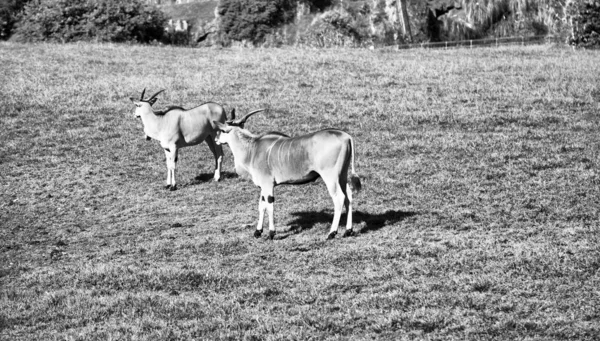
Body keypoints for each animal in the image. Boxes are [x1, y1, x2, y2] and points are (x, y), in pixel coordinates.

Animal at [213, 111, 360, 239]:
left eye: (222, 131)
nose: (215, 139)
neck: (252, 149)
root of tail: (345, 136)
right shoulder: (263, 187)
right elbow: (261, 205)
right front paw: (257, 232)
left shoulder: (268, 184)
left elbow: (269, 205)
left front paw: (271, 233)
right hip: (341, 175)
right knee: (348, 195)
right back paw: (348, 230)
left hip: (330, 178)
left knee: (339, 198)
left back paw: (332, 233)